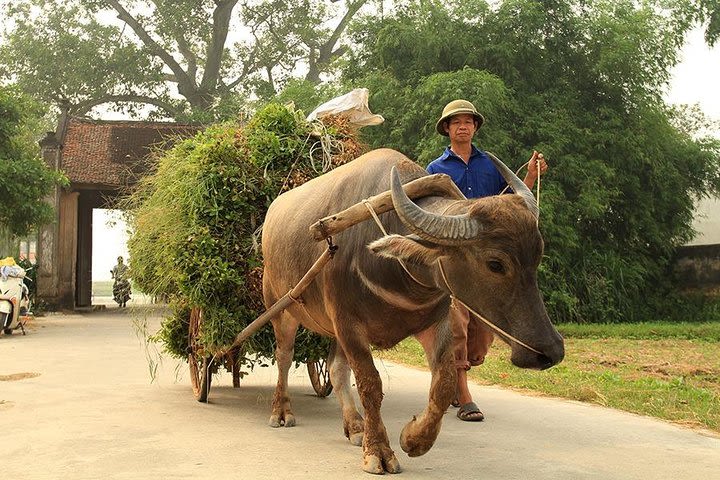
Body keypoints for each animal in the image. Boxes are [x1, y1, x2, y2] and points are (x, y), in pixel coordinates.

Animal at [262, 148, 564, 474]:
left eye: (537, 256)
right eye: (495, 264)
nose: (551, 351)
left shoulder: (436, 322)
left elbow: (444, 383)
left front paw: (414, 438)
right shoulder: (347, 323)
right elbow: (370, 384)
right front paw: (379, 451)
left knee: (336, 368)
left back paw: (355, 426)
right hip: (281, 307)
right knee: (284, 356)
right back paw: (281, 411)